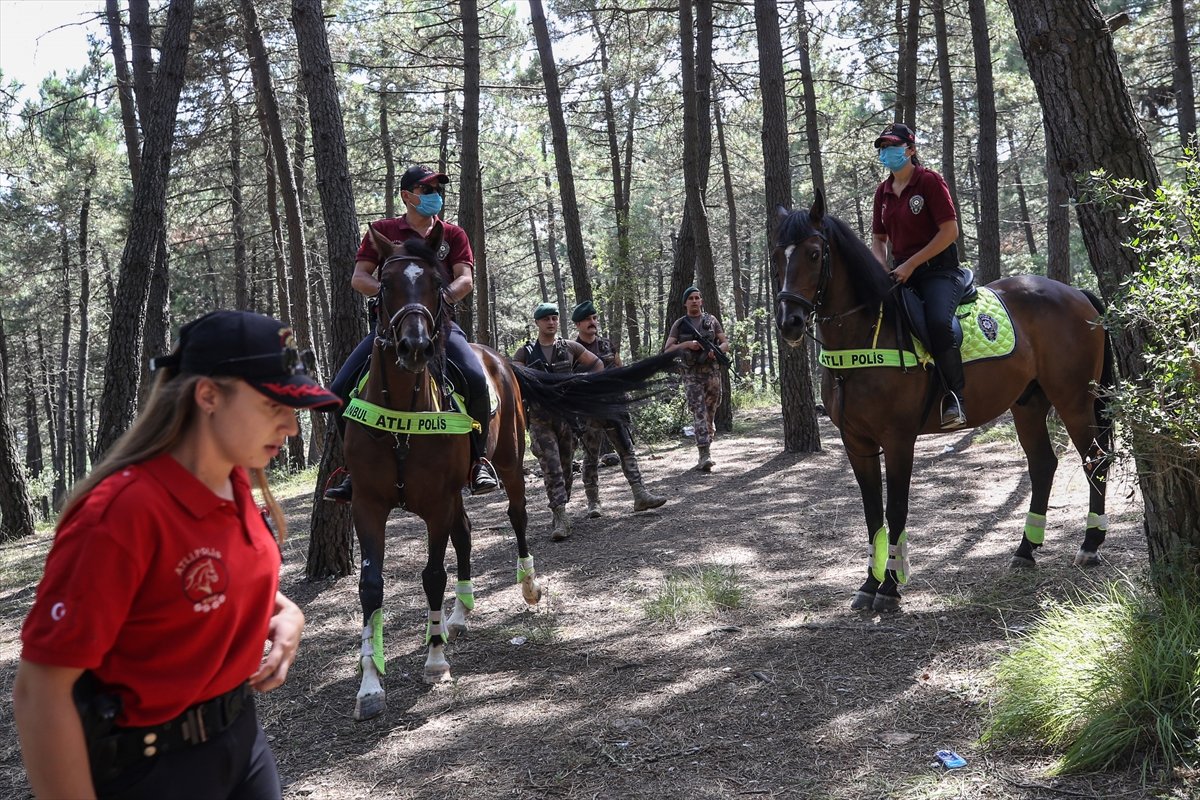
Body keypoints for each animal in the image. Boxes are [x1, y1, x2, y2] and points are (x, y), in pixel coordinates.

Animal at [345, 224, 676, 719]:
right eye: (384, 284)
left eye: (437, 283)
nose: (415, 347)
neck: (403, 411)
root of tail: (501, 359)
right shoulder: (367, 504)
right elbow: (371, 586)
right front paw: (369, 685)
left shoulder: (436, 502)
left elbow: (432, 575)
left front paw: (436, 661)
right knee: (464, 533)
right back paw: (459, 614)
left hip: (510, 464)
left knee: (517, 518)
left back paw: (527, 588)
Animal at [772, 199, 1108, 614]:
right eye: (777, 256)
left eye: (815, 254)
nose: (790, 321)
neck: (865, 335)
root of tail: (1076, 293)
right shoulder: (857, 443)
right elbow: (872, 512)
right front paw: (869, 583)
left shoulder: (899, 440)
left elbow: (896, 508)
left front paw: (890, 587)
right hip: (1028, 404)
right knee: (1044, 464)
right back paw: (1026, 550)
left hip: (1074, 400)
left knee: (1095, 460)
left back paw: (1090, 545)